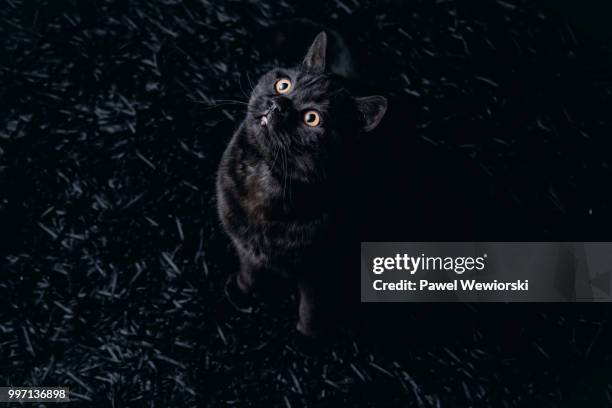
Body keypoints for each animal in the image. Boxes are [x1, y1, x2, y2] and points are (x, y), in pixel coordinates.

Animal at [216, 32, 388, 338]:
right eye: (283, 85)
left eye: (312, 118)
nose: (278, 105)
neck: (268, 181)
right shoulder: (243, 244)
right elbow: (249, 271)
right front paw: (243, 293)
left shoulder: (317, 271)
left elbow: (311, 307)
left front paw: (308, 336)